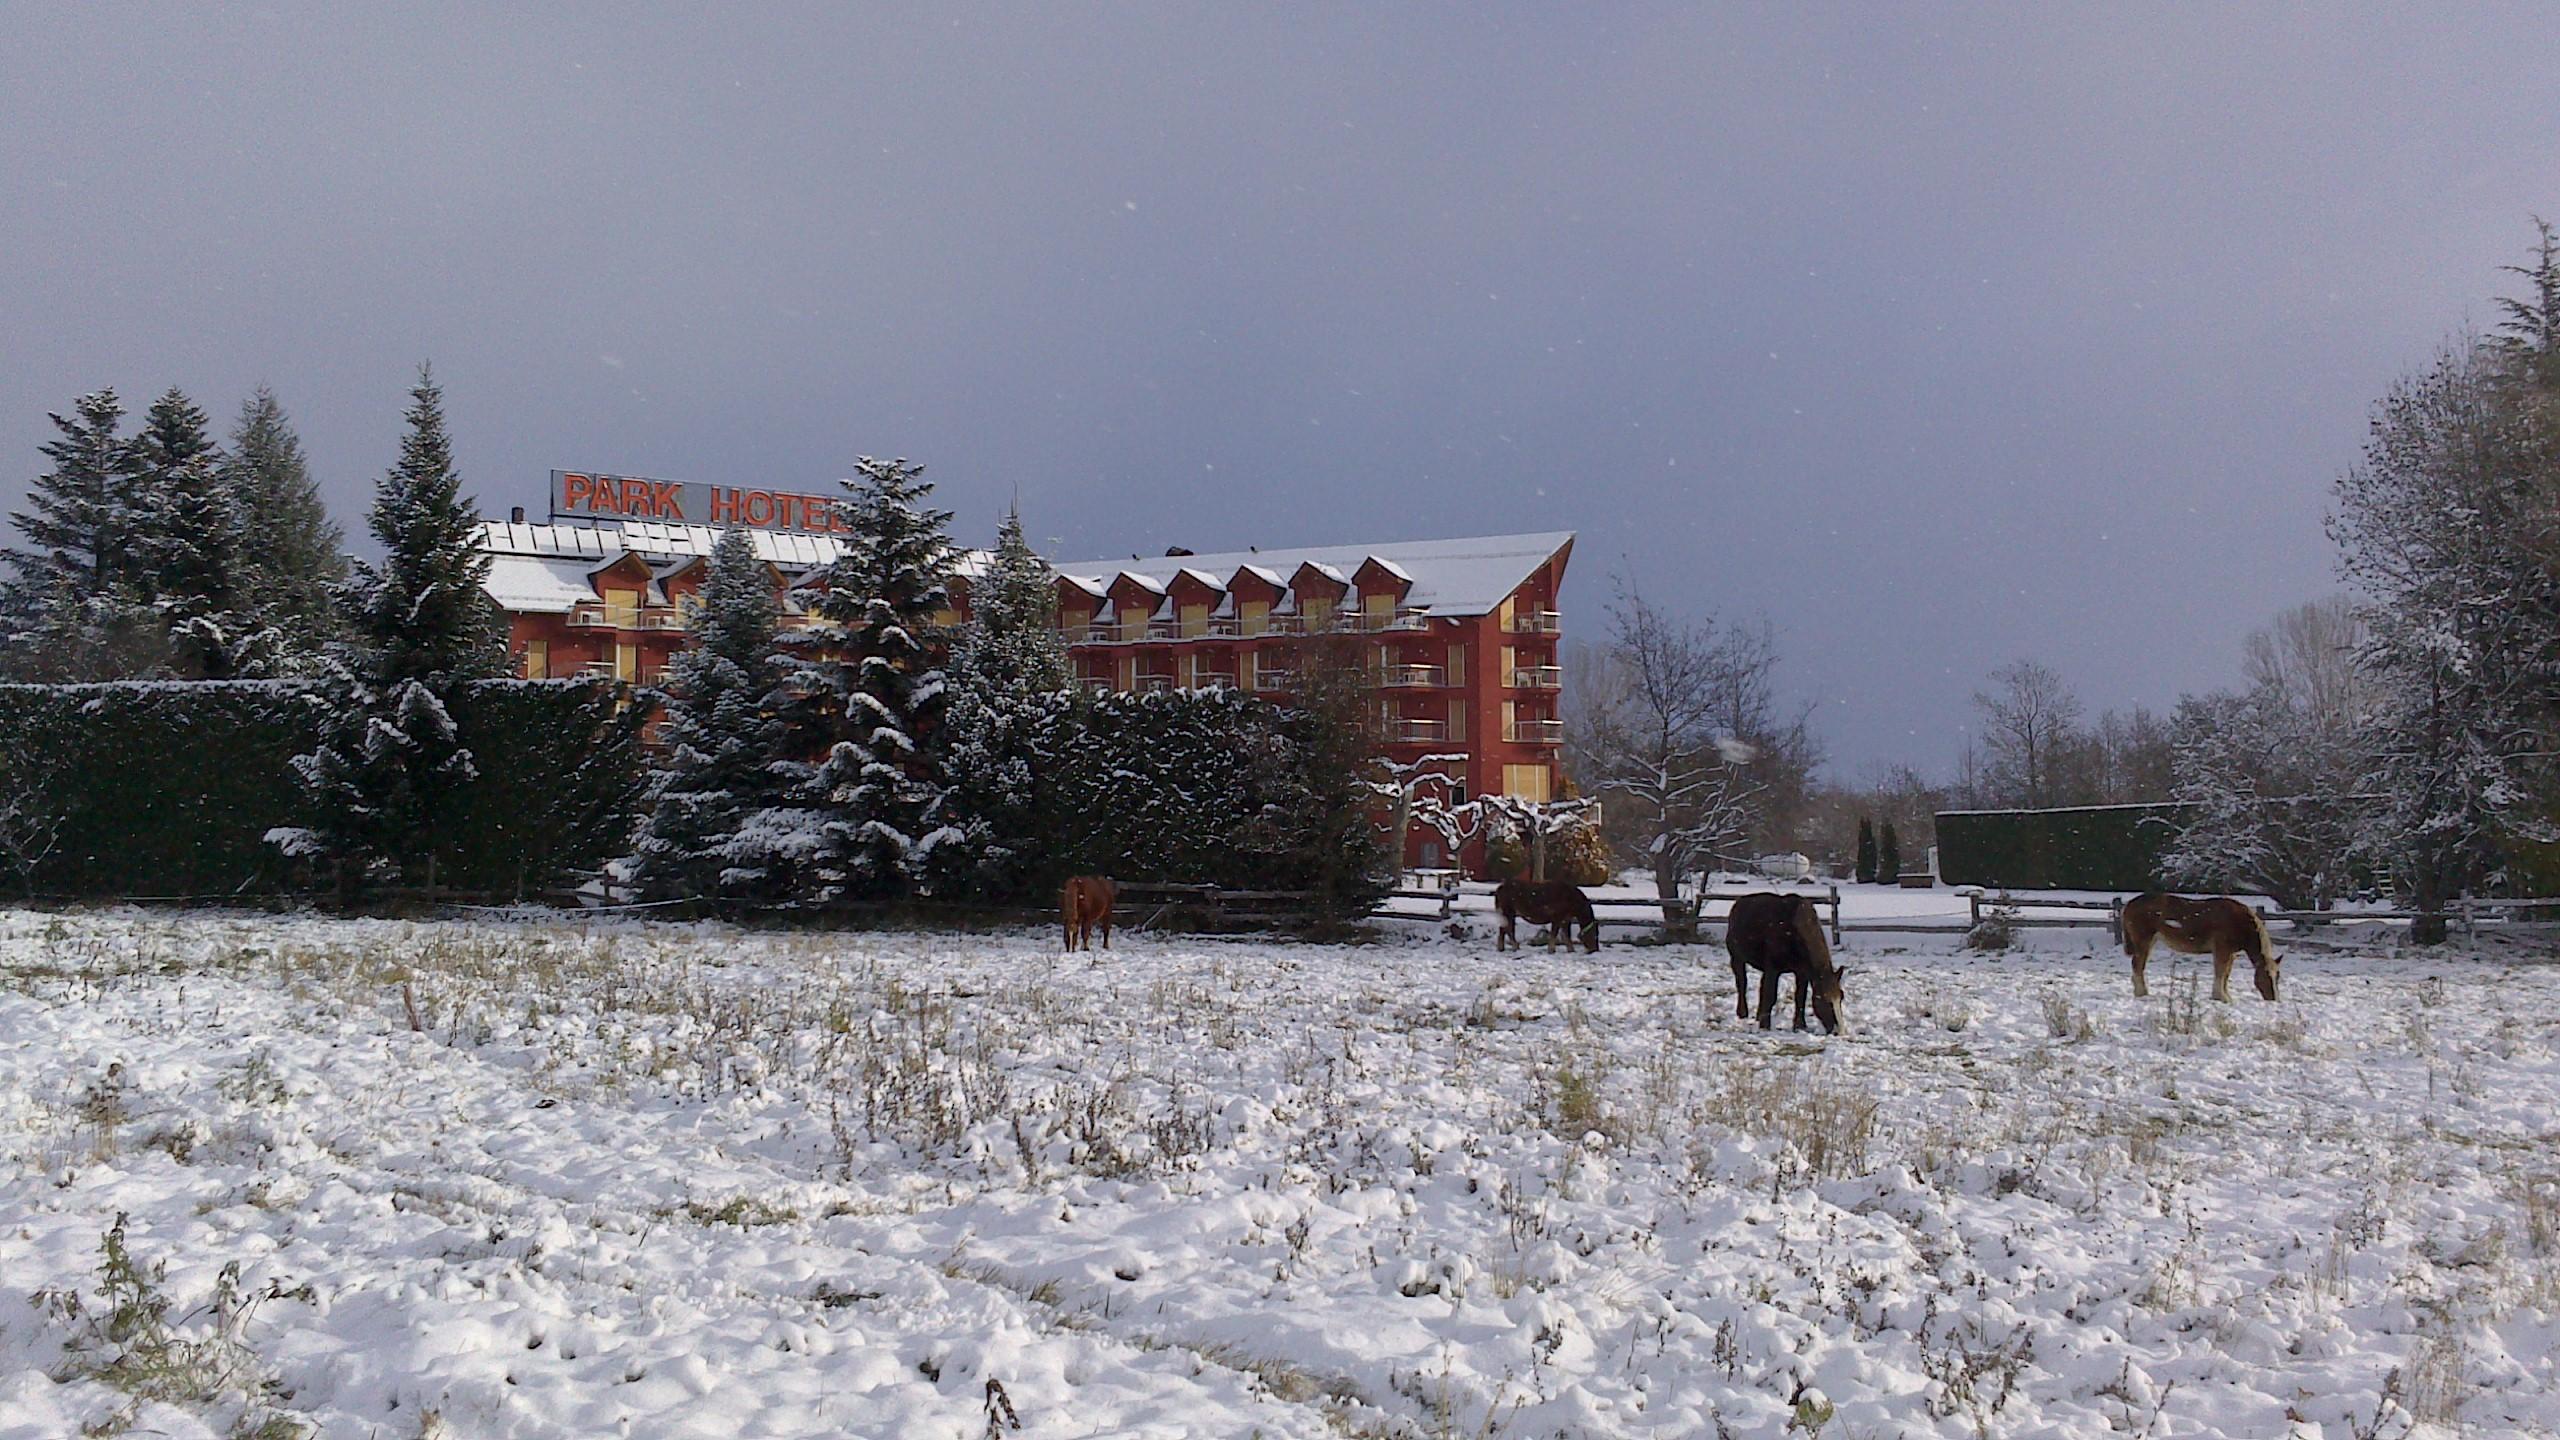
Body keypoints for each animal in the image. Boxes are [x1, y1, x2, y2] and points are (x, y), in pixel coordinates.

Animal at [1730, 886, 1853, 1030]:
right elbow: (1770, 995)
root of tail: (1738, 903)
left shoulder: (1802, 972)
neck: (1793, 933)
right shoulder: (1773, 969)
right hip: (1737, 959)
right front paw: (1765, 1026)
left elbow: (1800, 996)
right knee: (1742, 983)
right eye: (1824, 998)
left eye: (1841, 996)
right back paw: (1742, 1013)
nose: (1840, 1031)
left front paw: (1799, 1025)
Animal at [2119, 886, 2283, 999]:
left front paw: (2225, 996)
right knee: (2137, 965)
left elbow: (2226, 973)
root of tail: (2129, 904)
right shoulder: (2222, 949)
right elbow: (2220, 971)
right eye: (2266, 975)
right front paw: (2221, 997)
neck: (2240, 922)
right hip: (2144, 941)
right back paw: (2142, 993)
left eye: (2277, 976)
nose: (2273, 998)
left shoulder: (2230, 952)